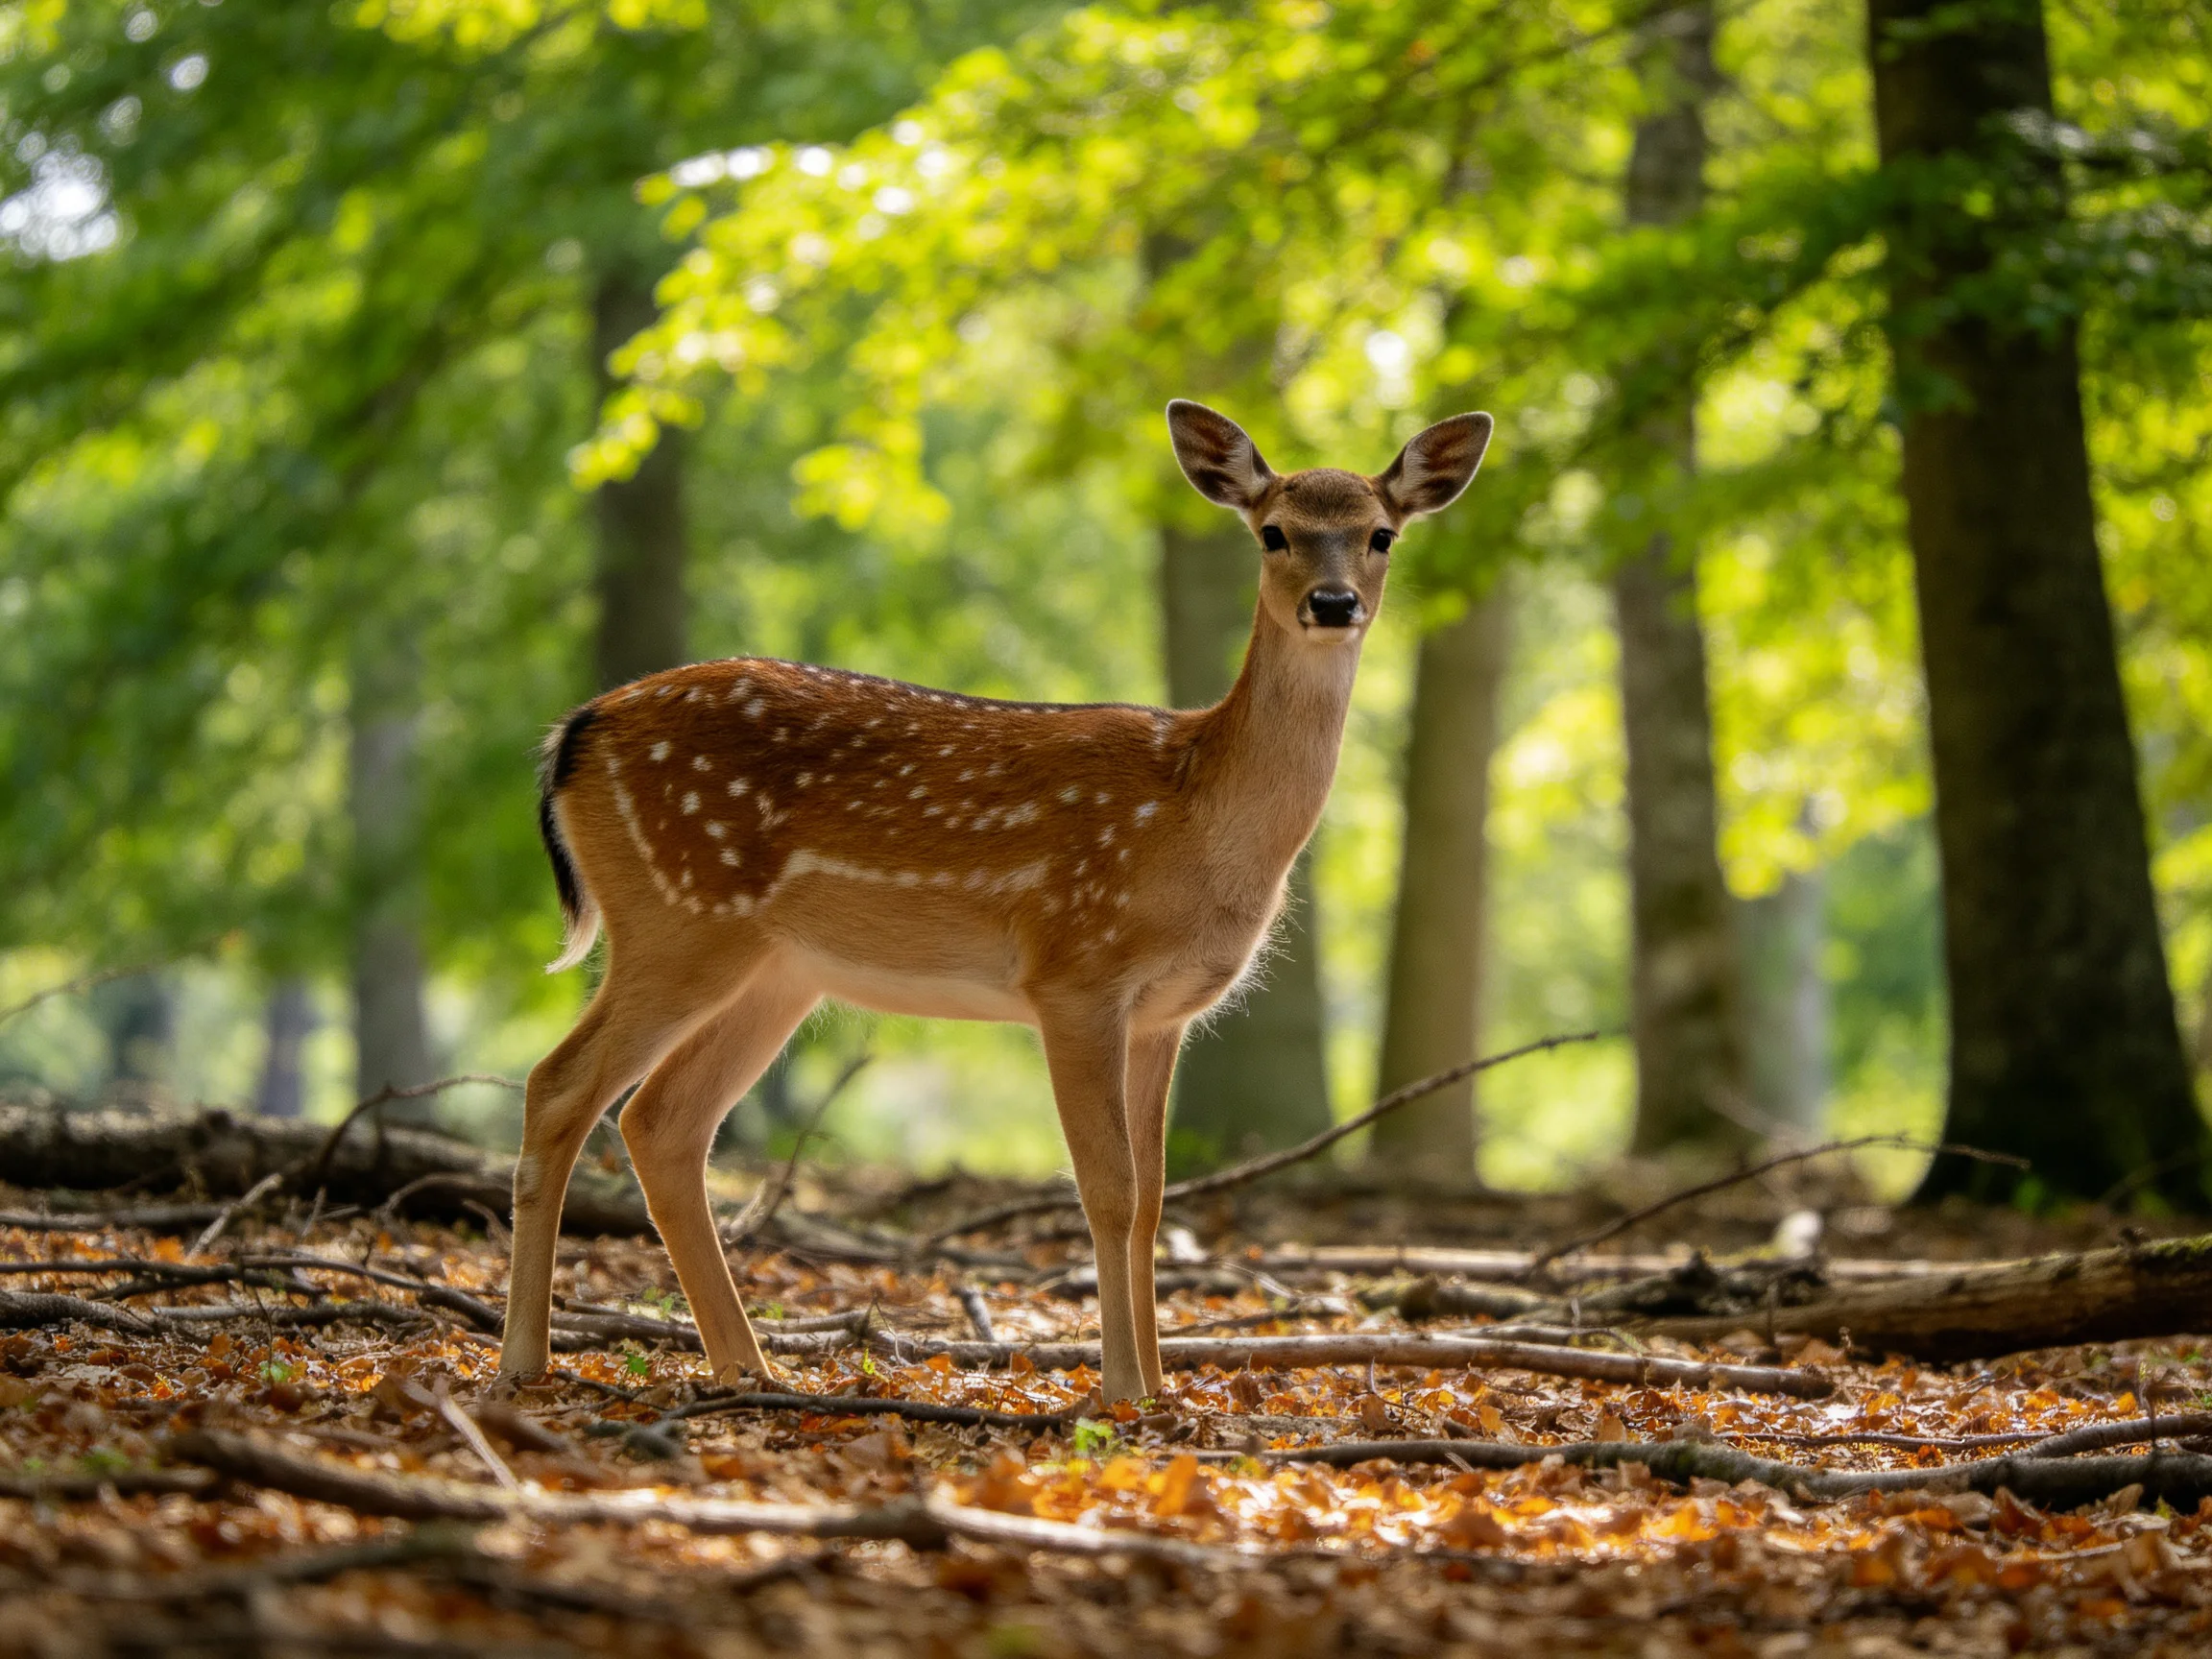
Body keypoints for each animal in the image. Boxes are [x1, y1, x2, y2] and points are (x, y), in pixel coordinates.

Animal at [500, 400, 1494, 1404]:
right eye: (1273, 532)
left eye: (1380, 534)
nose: (1332, 603)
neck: (1197, 816)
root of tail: (573, 731)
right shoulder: (1076, 974)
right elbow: (1107, 1189)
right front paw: (1123, 1390)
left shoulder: (1165, 1013)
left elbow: (1154, 1199)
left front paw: (1160, 1386)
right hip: (677, 916)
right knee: (559, 1085)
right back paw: (525, 1362)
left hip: (777, 971)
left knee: (662, 1121)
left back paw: (748, 1367)